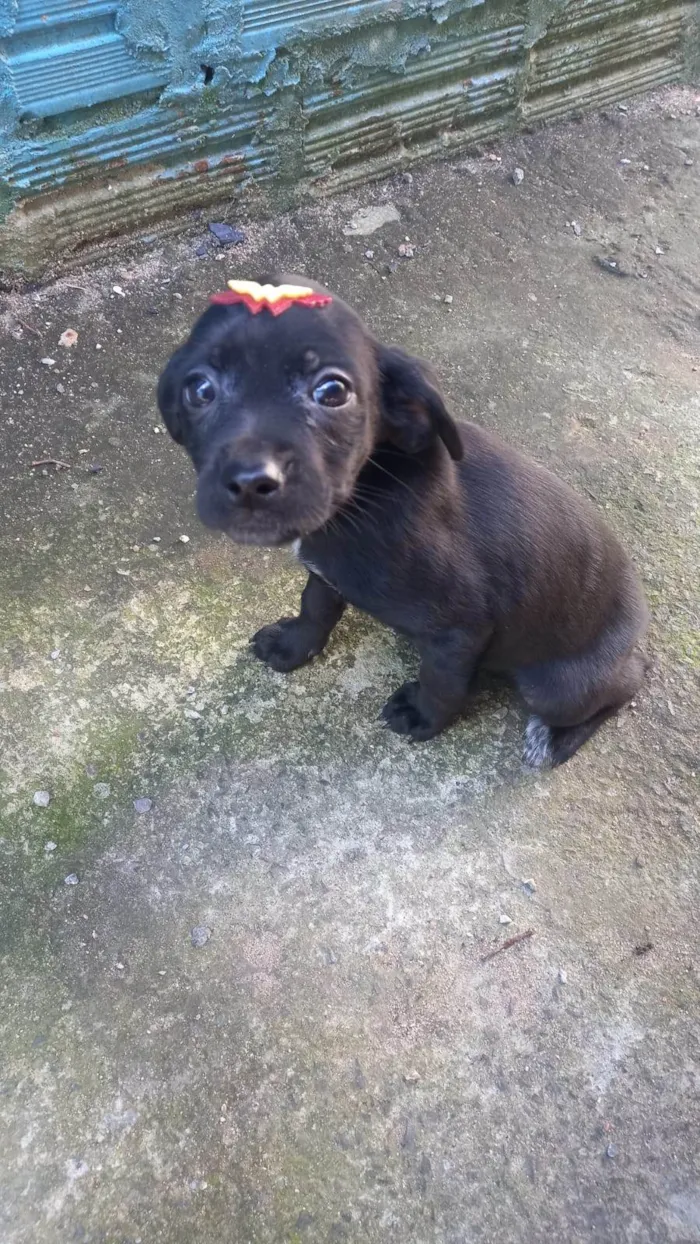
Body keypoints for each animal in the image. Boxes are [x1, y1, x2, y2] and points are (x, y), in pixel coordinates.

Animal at [159, 278, 651, 766]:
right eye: (199, 389)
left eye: (332, 391)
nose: (250, 482)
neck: (366, 495)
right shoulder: (328, 575)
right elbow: (315, 607)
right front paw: (293, 645)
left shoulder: (459, 629)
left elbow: (442, 683)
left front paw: (423, 717)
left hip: (554, 687)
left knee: (626, 684)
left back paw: (555, 738)